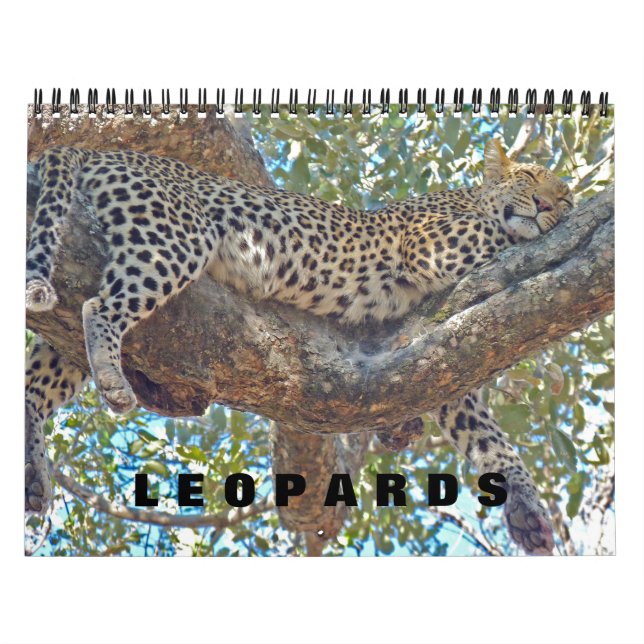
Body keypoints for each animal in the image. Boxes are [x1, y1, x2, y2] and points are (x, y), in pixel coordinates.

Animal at [25, 138, 573, 554]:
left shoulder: (442, 352)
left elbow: (485, 433)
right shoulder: (433, 244)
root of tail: (99, 148)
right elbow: (507, 238)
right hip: (174, 239)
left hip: (77, 316)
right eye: (529, 176)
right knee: (98, 307)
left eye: (565, 196)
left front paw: (526, 509)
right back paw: (113, 384)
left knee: (35, 382)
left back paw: (33, 474)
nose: (550, 205)